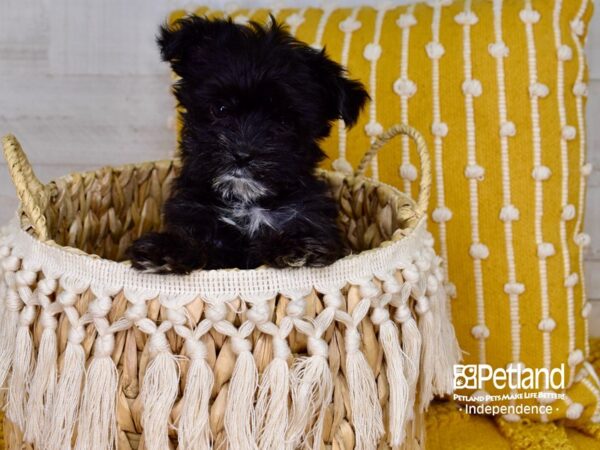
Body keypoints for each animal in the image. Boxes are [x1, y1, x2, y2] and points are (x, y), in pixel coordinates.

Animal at [127, 15, 366, 272]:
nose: (242, 154)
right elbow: (200, 244)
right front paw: (166, 249)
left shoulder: (308, 216)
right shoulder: (197, 217)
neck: (246, 203)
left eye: (284, 122)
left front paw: (296, 246)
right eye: (220, 109)